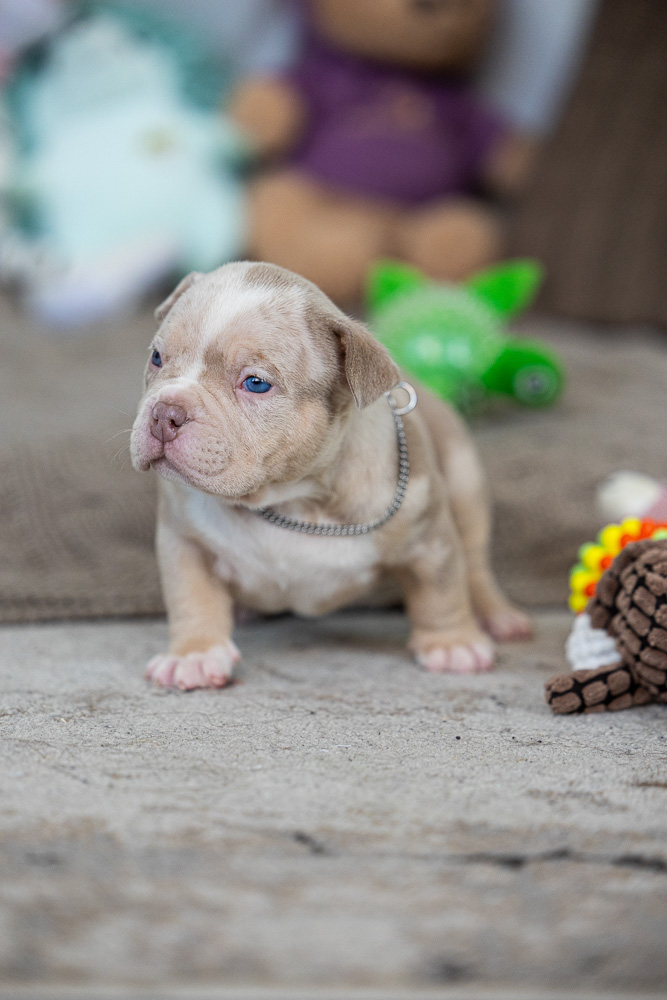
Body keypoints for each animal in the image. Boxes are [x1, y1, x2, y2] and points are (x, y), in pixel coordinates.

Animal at [130, 261, 531, 690]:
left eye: (256, 383)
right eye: (157, 358)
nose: (166, 412)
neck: (291, 500)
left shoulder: (430, 537)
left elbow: (442, 589)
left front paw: (452, 644)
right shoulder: (184, 539)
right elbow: (191, 596)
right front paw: (193, 654)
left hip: (465, 481)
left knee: (473, 562)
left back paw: (495, 614)